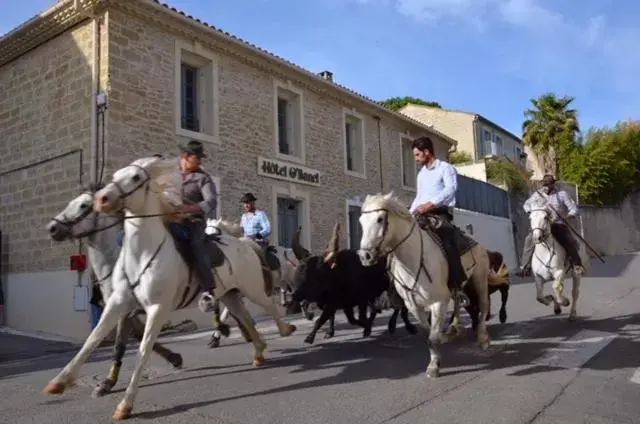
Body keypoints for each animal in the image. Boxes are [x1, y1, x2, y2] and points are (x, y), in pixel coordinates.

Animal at [42, 157, 296, 420]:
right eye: (114, 176)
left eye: (84, 205)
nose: (52, 228)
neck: (138, 254)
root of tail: (245, 244)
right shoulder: (119, 304)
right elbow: (94, 339)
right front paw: (61, 381)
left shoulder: (156, 309)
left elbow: (140, 348)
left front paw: (125, 401)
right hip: (230, 294)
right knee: (243, 316)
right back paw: (256, 350)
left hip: (252, 288)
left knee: (269, 305)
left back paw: (284, 329)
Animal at [356, 193, 490, 378]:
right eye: (361, 221)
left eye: (380, 219)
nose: (365, 256)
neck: (413, 261)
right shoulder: (413, 306)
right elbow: (428, 334)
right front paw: (435, 359)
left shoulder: (438, 302)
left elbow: (432, 337)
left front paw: (434, 367)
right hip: (457, 288)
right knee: (457, 304)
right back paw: (454, 329)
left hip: (479, 278)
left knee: (483, 306)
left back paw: (483, 338)